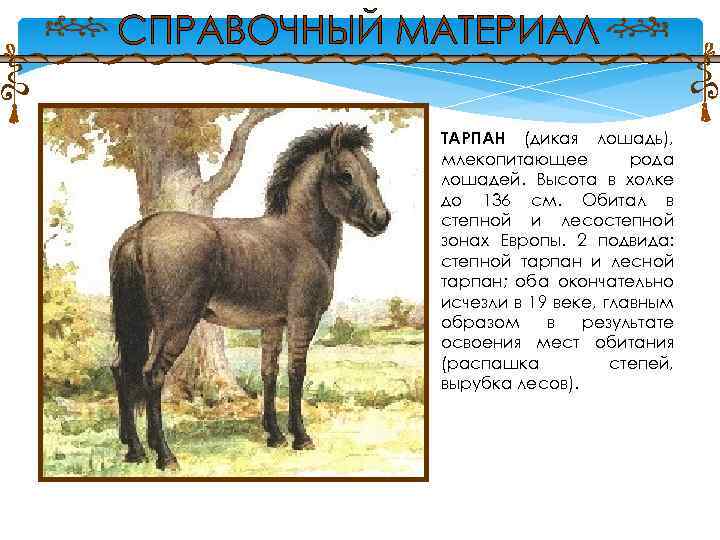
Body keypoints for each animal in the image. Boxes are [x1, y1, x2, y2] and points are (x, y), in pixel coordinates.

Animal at [109, 123, 391, 470]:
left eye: (374, 173)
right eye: (345, 175)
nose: (381, 218)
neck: (301, 236)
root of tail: (141, 230)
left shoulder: (272, 324)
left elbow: (269, 373)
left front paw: (275, 435)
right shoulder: (302, 319)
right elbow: (296, 372)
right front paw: (301, 437)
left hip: (140, 322)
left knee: (123, 371)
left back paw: (134, 450)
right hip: (176, 324)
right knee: (151, 375)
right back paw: (165, 455)